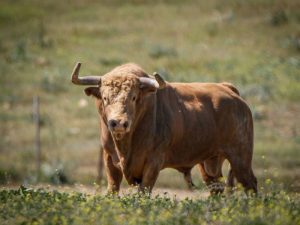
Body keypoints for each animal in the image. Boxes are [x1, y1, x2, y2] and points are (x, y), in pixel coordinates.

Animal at [71, 61, 258, 193]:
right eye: (104, 97)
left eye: (133, 97)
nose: (118, 123)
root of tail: (229, 90)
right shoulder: (109, 160)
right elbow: (112, 190)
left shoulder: (153, 162)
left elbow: (143, 192)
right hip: (209, 162)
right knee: (216, 189)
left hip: (240, 157)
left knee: (250, 184)